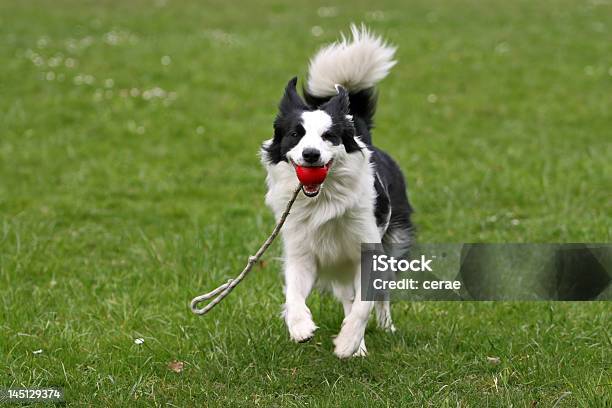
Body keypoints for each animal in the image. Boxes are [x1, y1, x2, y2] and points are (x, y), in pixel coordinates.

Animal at [260, 25, 414, 356]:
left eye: (329, 136)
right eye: (295, 134)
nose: (311, 155)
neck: (324, 199)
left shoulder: (367, 252)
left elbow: (364, 303)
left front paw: (347, 343)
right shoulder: (302, 250)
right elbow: (294, 292)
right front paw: (300, 327)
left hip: (393, 242)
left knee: (379, 294)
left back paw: (383, 329)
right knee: (346, 296)